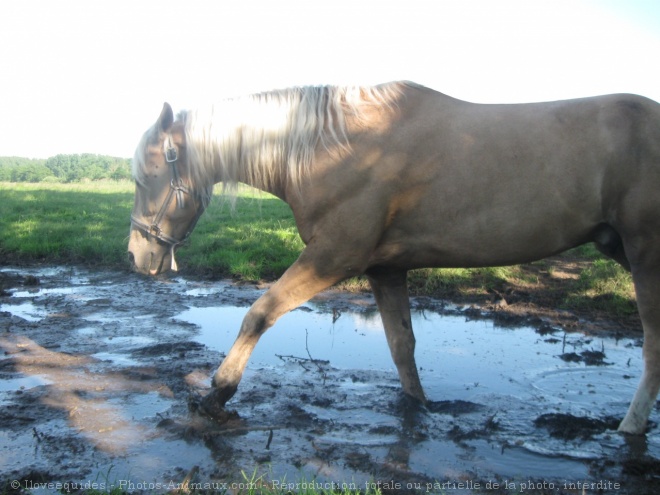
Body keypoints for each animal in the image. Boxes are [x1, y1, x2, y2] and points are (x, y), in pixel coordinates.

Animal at [127, 83, 660, 436]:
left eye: (145, 176)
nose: (136, 254)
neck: (336, 147)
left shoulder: (333, 257)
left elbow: (259, 313)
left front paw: (217, 392)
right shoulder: (385, 270)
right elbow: (402, 347)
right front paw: (420, 408)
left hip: (645, 253)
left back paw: (629, 428)